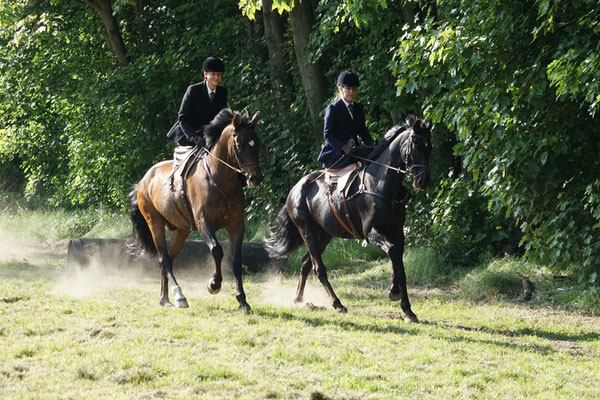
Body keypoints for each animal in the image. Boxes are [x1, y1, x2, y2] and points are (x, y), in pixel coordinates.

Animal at [130, 108, 262, 312]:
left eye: (258, 144)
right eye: (239, 145)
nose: (256, 178)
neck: (220, 178)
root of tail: (144, 180)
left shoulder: (236, 225)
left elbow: (236, 261)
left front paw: (242, 301)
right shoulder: (203, 223)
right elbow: (217, 250)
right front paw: (214, 284)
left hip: (180, 230)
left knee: (169, 258)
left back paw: (165, 298)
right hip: (155, 224)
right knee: (164, 260)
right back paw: (179, 296)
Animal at [264, 115, 428, 322]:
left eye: (429, 146)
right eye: (414, 145)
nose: (422, 181)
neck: (381, 184)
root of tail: (294, 190)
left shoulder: (397, 232)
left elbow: (399, 263)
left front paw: (406, 308)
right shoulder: (371, 233)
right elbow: (392, 252)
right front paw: (394, 292)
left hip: (324, 235)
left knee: (306, 263)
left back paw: (299, 299)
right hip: (307, 231)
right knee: (319, 268)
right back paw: (337, 304)